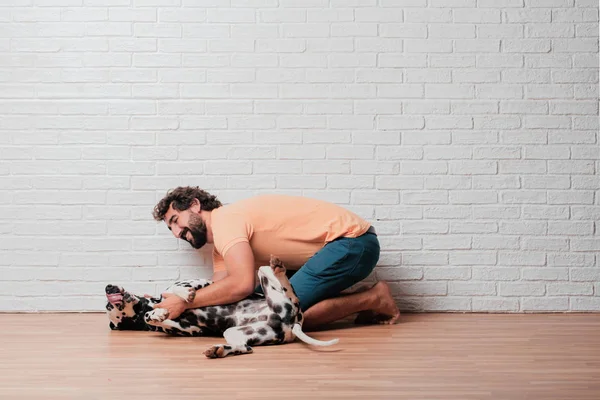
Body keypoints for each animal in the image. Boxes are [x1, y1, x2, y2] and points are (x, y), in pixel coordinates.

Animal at [103, 256, 338, 360]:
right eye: (109, 305)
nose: (107, 287)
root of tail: (294, 322)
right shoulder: (192, 330)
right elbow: (152, 316)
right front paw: (158, 313)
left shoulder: (202, 283)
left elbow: (179, 292)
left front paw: (176, 300)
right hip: (235, 332)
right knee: (244, 348)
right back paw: (219, 350)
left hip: (265, 276)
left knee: (277, 277)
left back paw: (279, 268)